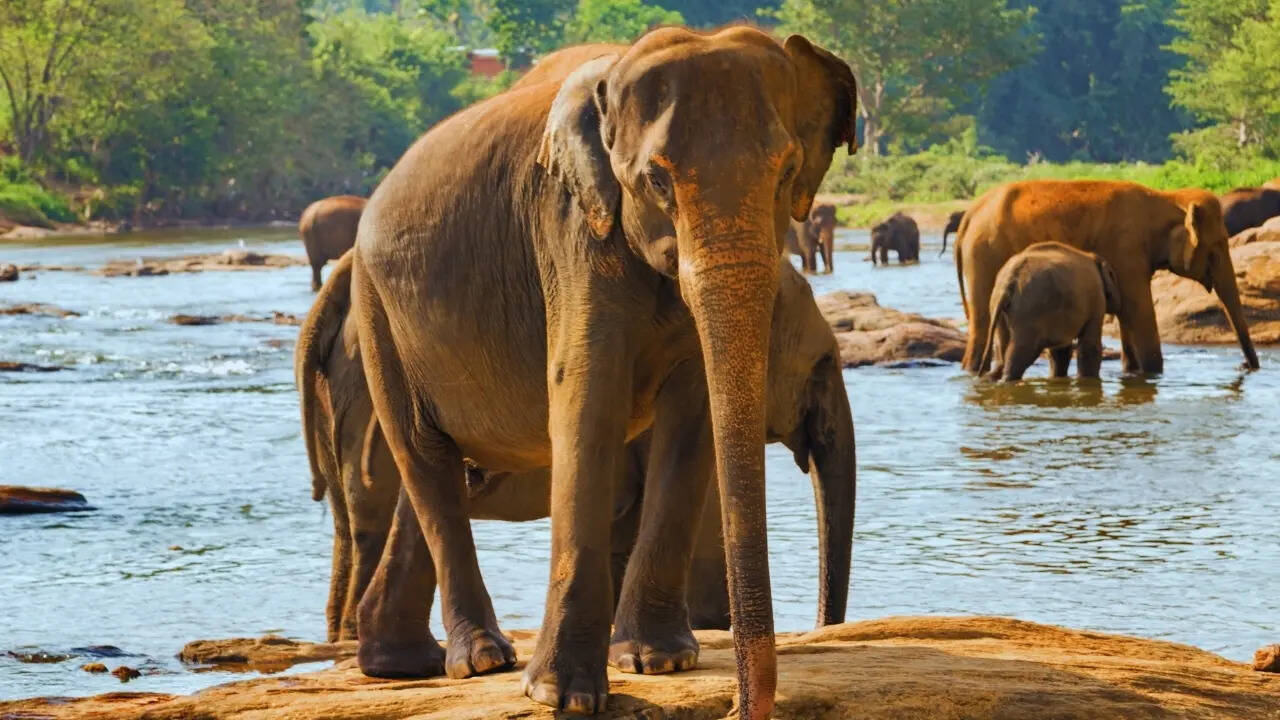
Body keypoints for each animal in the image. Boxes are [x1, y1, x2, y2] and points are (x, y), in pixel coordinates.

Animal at [979, 242, 1122, 381]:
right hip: (1029, 311)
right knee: (1023, 351)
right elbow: (1089, 346)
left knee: (1003, 348)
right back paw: (1008, 380)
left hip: (998, 307)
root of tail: (1008, 283)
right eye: (1113, 278)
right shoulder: (1096, 299)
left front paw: (1058, 378)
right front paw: (1088, 380)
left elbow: (1060, 351)